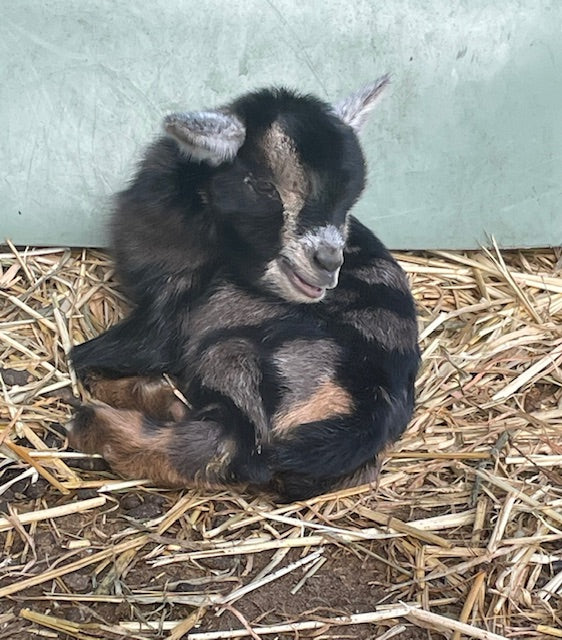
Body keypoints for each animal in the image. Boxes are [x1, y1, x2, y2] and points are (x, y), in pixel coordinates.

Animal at [68, 77, 420, 501]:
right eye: (264, 186)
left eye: (348, 201)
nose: (328, 263)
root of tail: (363, 414)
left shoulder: (168, 314)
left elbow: (85, 357)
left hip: (231, 348)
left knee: (227, 445)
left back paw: (96, 423)